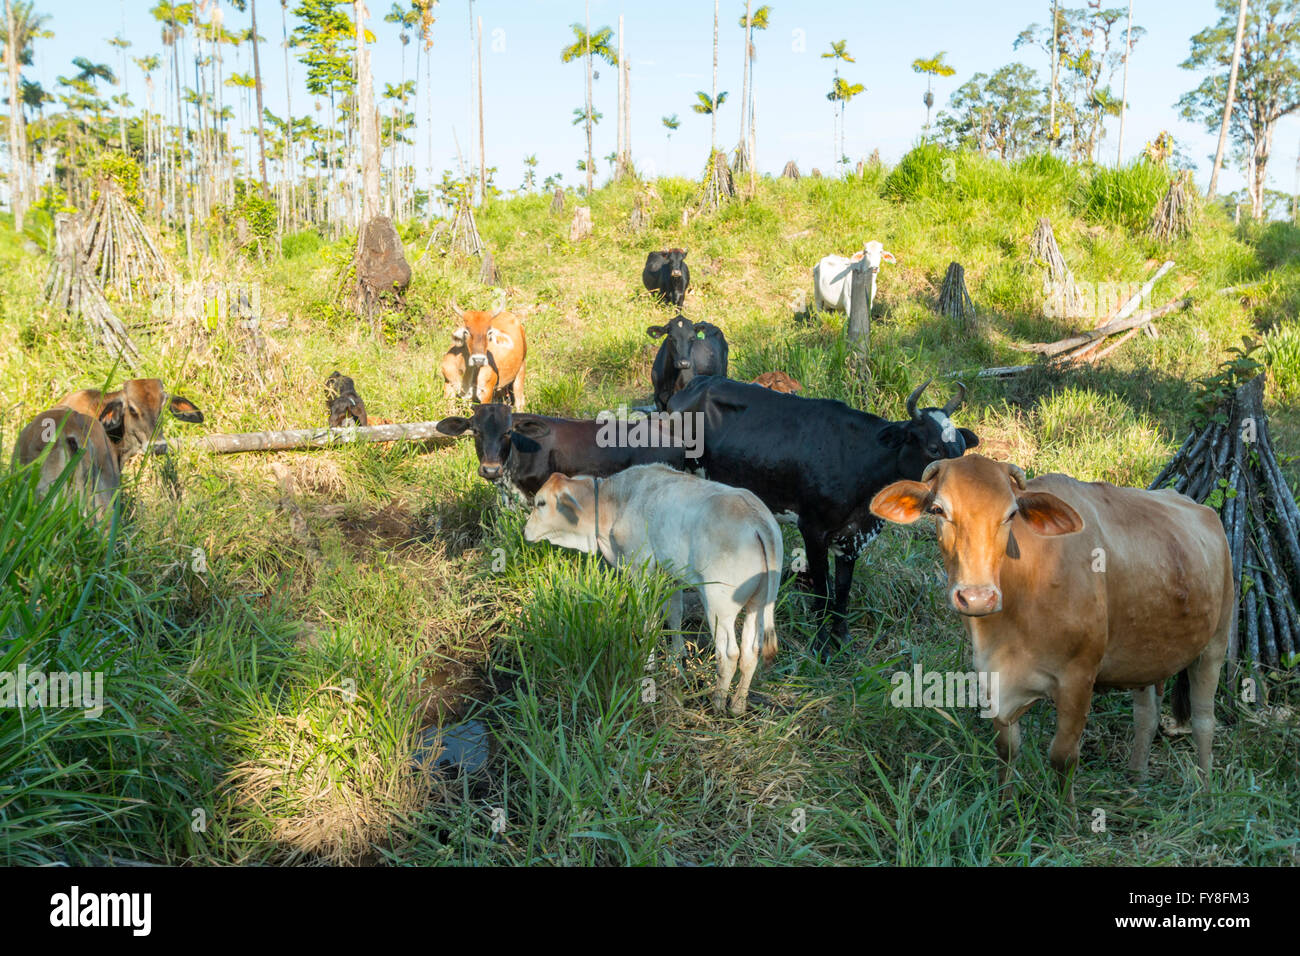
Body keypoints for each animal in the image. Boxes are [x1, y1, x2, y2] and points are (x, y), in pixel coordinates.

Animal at [524, 464, 781, 715]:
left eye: (541, 503)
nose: (525, 531)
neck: (614, 502)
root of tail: (758, 520)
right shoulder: (672, 575)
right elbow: (674, 614)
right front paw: (676, 659)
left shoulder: (641, 570)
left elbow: (648, 620)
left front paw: (647, 664)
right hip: (757, 604)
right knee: (751, 651)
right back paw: (737, 706)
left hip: (719, 606)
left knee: (729, 654)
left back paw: (717, 704)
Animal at [668, 375, 977, 654]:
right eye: (933, 448)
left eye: (961, 449)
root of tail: (696, 384)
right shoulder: (813, 530)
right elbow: (822, 591)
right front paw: (821, 645)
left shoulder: (853, 537)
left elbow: (842, 590)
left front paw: (843, 639)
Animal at [869, 454, 1233, 803]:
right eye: (938, 510)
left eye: (1011, 514)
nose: (976, 597)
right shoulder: (991, 675)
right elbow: (1007, 748)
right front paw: (1005, 805)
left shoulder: (1078, 678)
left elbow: (1063, 755)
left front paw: (1066, 815)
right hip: (1146, 656)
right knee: (1146, 716)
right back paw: (1136, 782)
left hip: (1216, 643)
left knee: (1204, 720)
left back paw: (1206, 792)